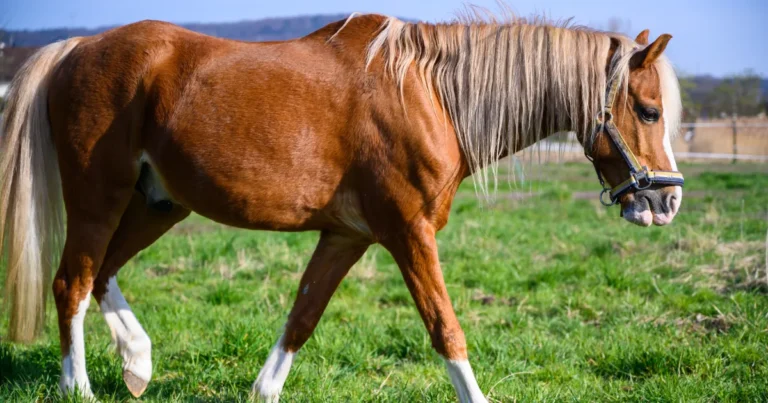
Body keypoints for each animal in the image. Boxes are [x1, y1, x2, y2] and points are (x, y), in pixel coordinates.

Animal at [0, 11, 684, 402]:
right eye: (649, 111)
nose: (667, 199)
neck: (431, 94)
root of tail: (76, 48)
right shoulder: (408, 232)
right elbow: (445, 328)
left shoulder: (347, 237)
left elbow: (302, 317)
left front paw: (263, 391)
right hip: (100, 198)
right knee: (71, 281)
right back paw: (79, 387)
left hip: (158, 205)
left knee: (102, 274)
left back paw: (138, 363)